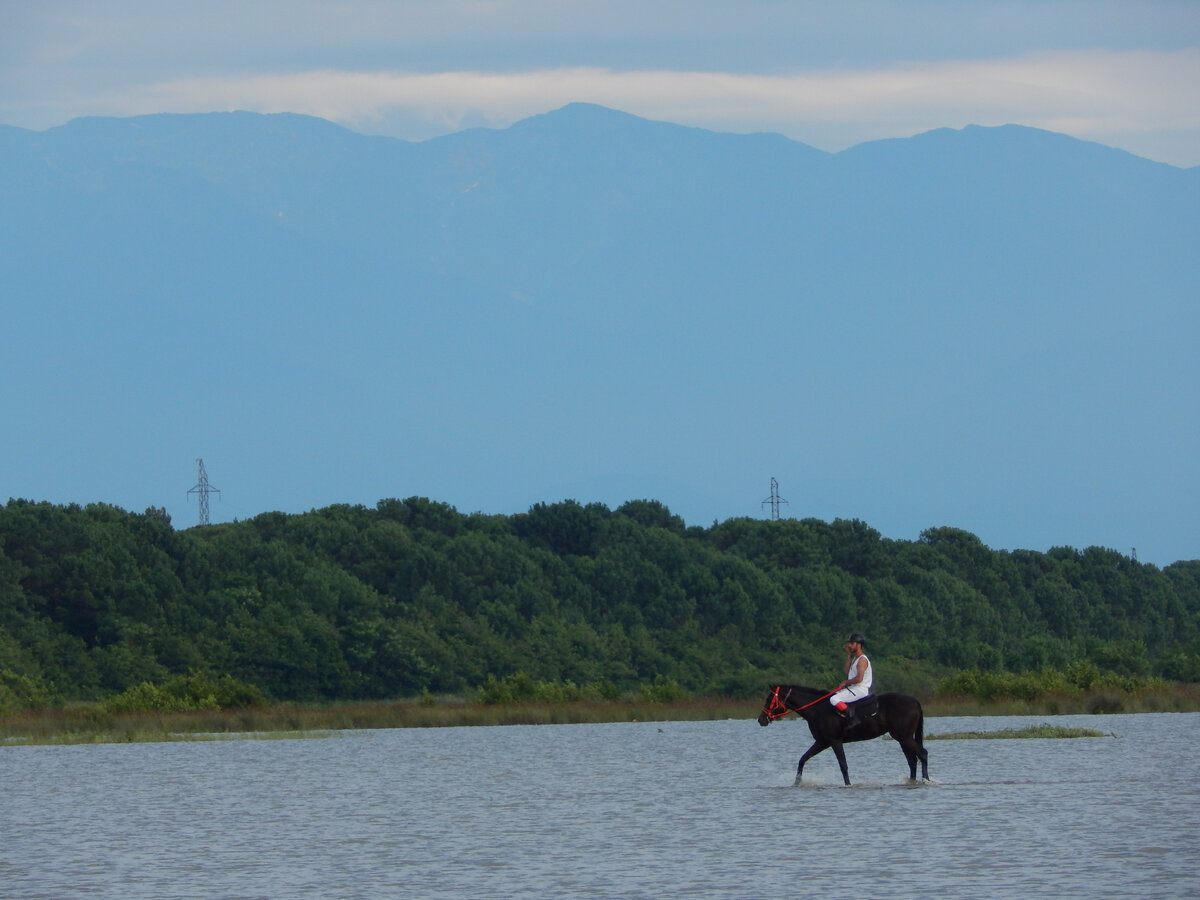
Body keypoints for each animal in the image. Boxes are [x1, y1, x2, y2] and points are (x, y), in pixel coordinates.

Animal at [758, 686, 926, 787]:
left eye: (769, 699)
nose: (761, 719)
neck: (818, 710)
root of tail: (915, 701)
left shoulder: (834, 741)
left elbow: (843, 765)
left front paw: (848, 785)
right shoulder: (822, 742)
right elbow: (802, 759)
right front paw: (796, 783)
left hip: (904, 737)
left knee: (922, 754)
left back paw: (926, 780)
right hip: (902, 738)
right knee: (912, 761)